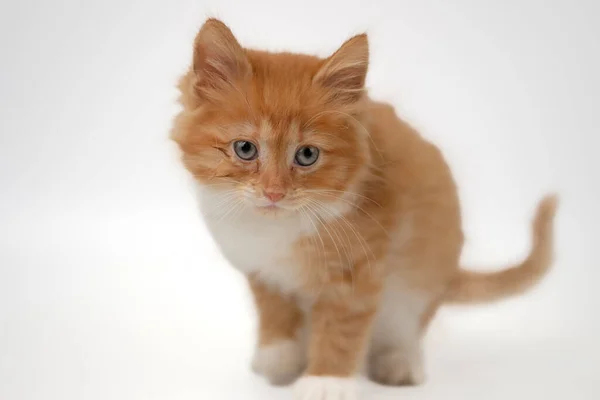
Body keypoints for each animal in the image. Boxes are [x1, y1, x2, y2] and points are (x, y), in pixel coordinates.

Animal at [169, 18, 556, 400]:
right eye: (245, 149)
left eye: (307, 155)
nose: (274, 192)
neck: (280, 228)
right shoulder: (264, 271)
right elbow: (276, 315)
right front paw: (279, 360)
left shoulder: (358, 269)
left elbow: (341, 327)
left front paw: (325, 381)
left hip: (421, 278)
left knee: (404, 325)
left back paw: (399, 362)